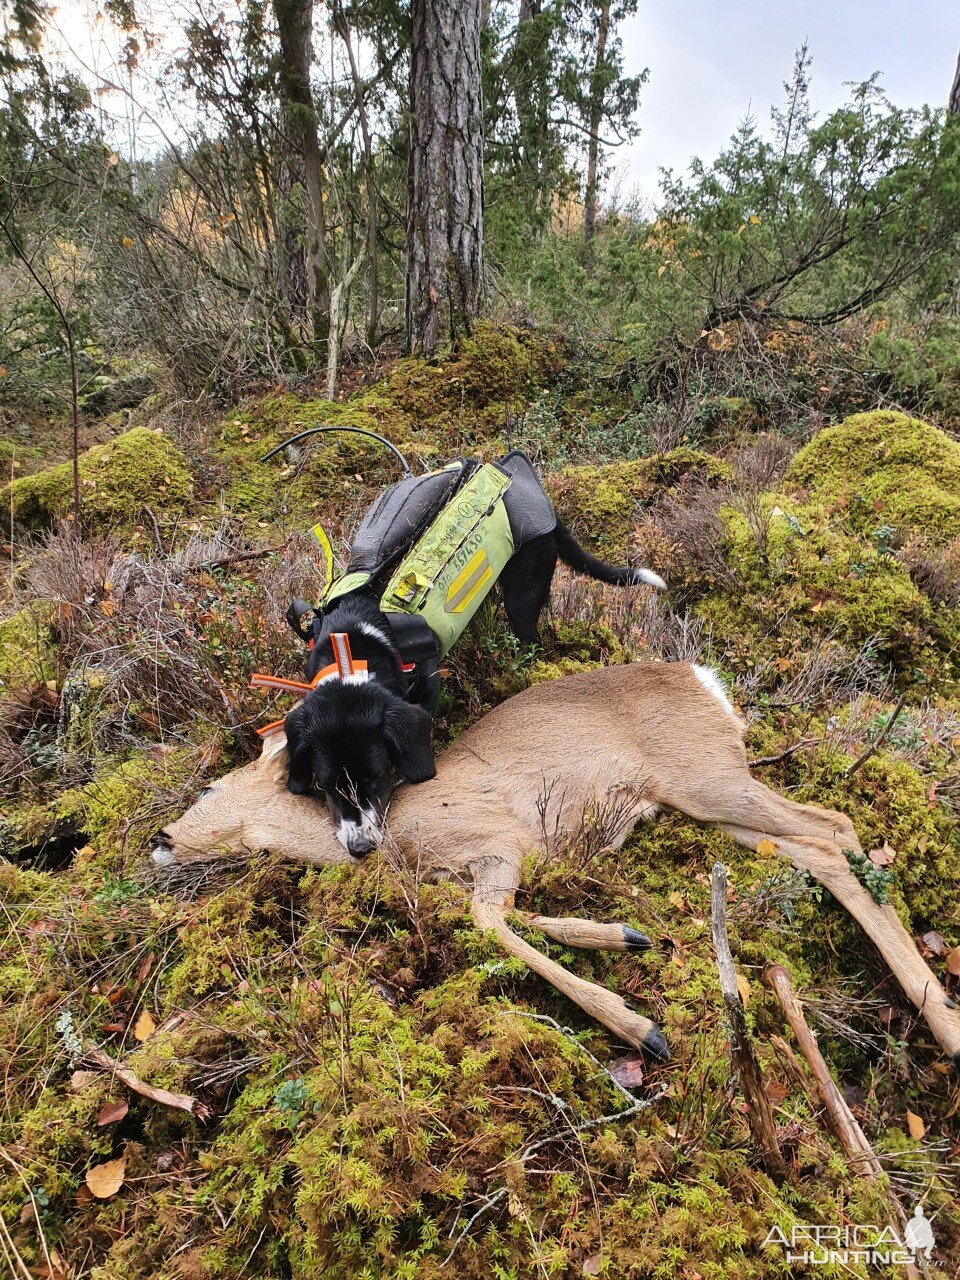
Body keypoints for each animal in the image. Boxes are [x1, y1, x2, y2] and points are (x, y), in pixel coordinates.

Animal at [281, 488, 665, 860]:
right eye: (325, 785)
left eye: (376, 778)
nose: (360, 849)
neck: (352, 648)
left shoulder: (427, 690)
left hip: (522, 597)